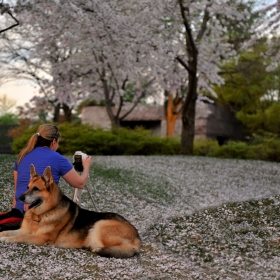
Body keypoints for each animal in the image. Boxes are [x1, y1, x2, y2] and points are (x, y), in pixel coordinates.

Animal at [0, 164, 141, 258]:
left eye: (35, 189)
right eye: (27, 187)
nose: (20, 197)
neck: (42, 213)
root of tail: (137, 237)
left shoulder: (41, 237)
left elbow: (20, 236)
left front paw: (7, 239)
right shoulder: (24, 229)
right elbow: (8, 232)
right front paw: (3, 235)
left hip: (100, 224)